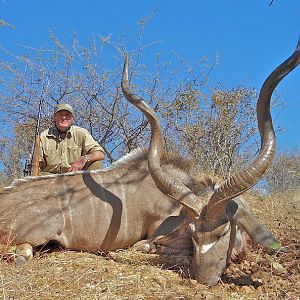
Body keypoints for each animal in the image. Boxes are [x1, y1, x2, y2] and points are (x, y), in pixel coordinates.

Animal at [0, 39, 298, 286]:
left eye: (224, 231)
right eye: (193, 233)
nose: (205, 279)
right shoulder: (158, 231)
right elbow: (146, 245)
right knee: (24, 251)